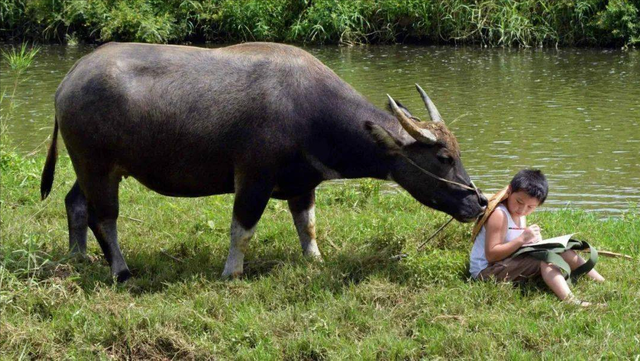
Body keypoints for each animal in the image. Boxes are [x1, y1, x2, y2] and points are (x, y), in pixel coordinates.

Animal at [40, 40, 484, 280]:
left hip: (95, 168)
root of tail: (68, 79)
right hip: (96, 166)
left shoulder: (303, 185)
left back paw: (78, 257)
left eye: (458, 153)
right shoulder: (252, 178)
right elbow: (242, 229)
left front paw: (315, 260)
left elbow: (308, 227)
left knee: (75, 203)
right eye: (443, 156)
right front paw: (232, 272)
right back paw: (120, 271)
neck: (310, 110)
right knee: (105, 218)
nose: (477, 201)